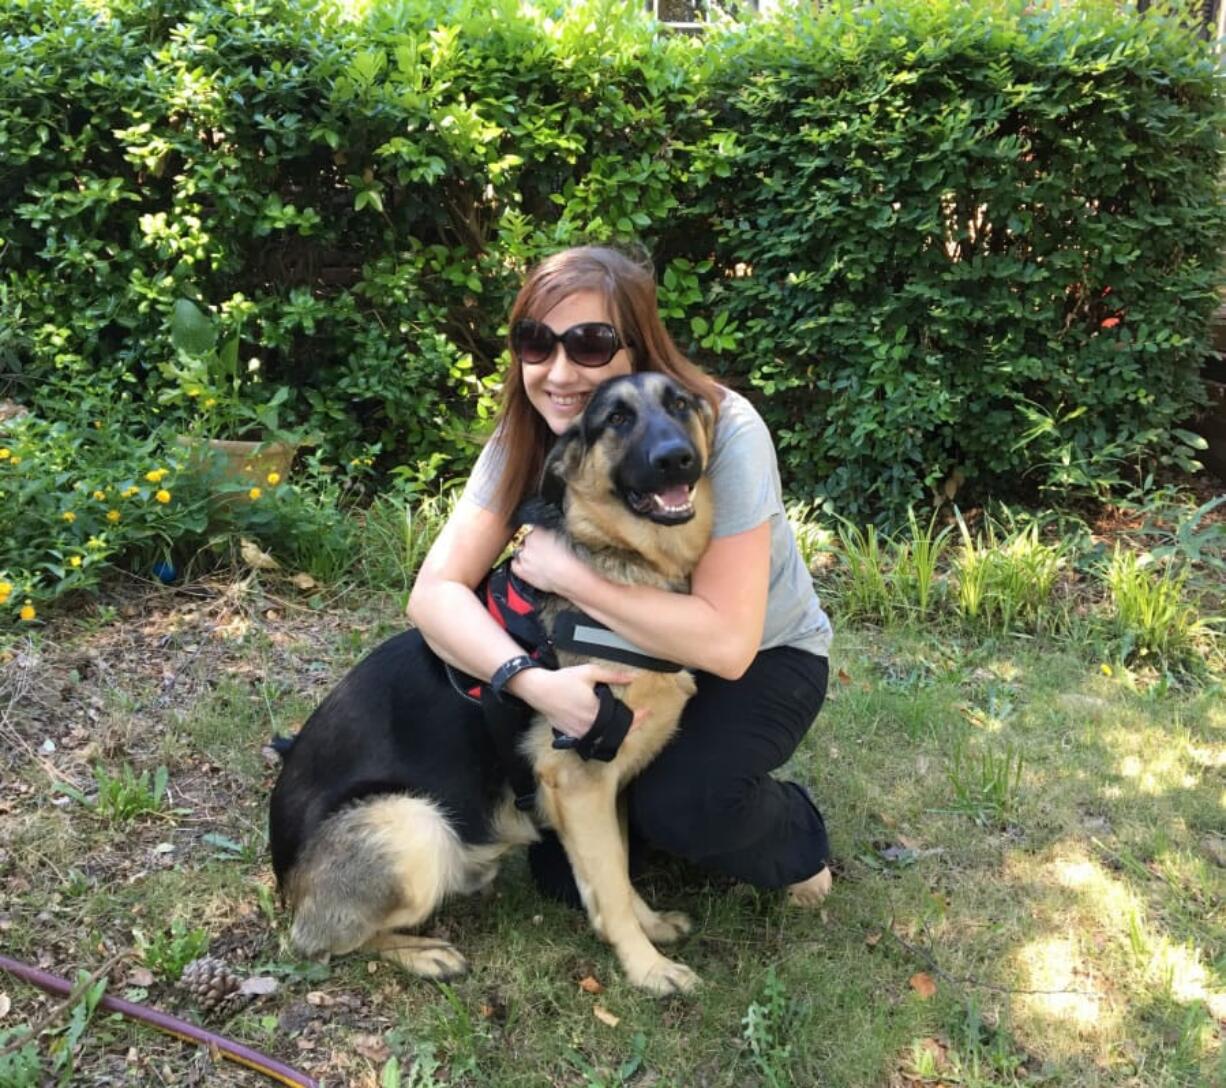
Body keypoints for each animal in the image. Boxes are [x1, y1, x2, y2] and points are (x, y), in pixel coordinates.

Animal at [263, 375, 715, 996]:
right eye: (617, 419)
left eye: (679, 404)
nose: (677, 458)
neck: (621, 561)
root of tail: (284, 881)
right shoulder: (580, 781)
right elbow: (611, 887)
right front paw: (646, 967)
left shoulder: (610, 783)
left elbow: (619, 873)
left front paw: (649, 928)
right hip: (414, 825)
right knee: (319, 943)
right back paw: (423, 953)